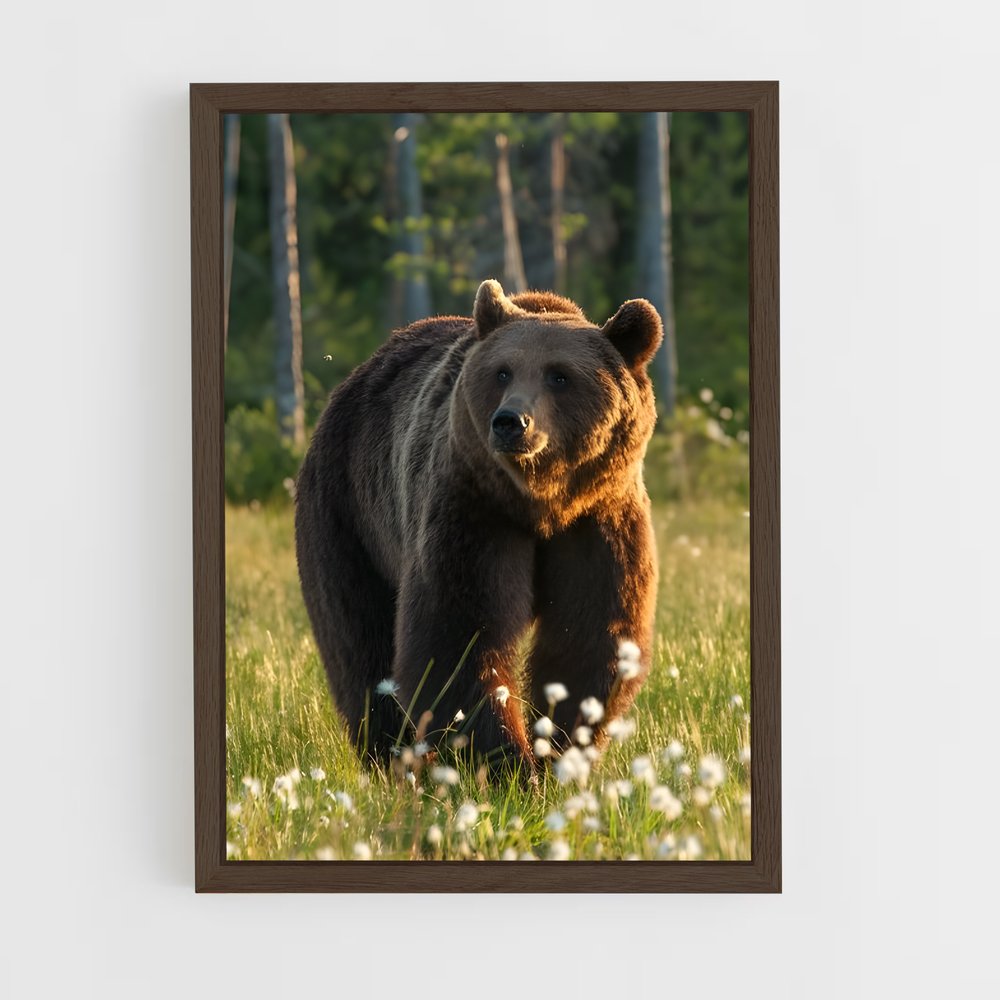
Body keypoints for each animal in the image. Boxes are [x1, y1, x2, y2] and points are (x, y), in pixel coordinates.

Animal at [294, 279, 662, 770]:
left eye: (560, 375)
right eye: (503, 372)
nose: (510, 422)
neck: (541, 502)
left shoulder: (600, 518)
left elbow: (590, 634)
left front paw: (558, 749)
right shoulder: (473, 510)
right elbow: (458, 634)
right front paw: (509, 762)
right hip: (348, 515)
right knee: (359, 640)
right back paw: (394, 758)